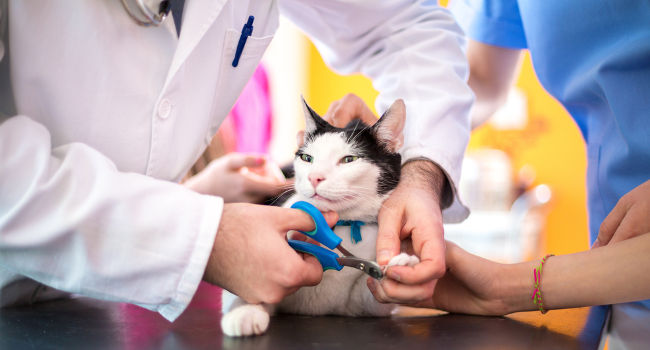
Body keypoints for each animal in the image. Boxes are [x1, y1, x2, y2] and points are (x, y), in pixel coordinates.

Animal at [220, 98, 418, 336]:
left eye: (349, 159)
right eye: (307, 158)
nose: (315, 177)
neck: (345, 224)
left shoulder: (361, 307)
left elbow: (374, 294)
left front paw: (401, 266)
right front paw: (244, 311)